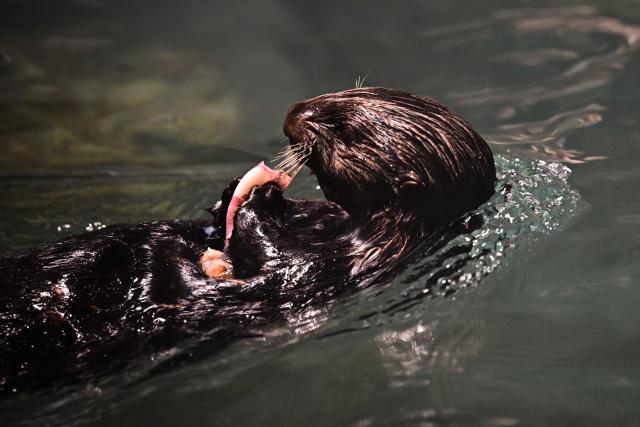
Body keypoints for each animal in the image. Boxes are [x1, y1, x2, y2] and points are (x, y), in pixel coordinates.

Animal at [0, 87, 495, 395]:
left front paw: (257, 198)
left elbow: (276, 263)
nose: (292, 115)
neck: (343, 227)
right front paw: (230, 199)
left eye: (343, 128)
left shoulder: (348, 263)